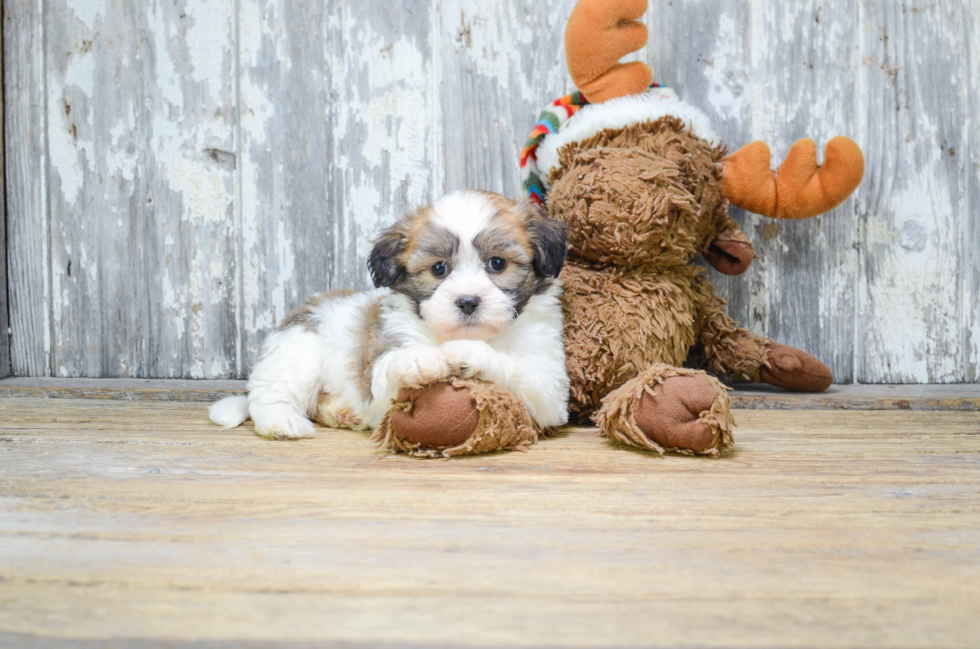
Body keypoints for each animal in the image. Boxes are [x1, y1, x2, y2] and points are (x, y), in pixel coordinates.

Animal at [211, 190, 572, 438]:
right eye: (439, 268)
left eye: (497, 263)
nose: (468, 301)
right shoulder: (387, 358)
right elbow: (389, 369)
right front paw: (418, 359)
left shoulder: (550, 390)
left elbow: (522, 373)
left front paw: (469, 353)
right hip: (299, 348)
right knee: (271, 395)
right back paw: (282, 421)